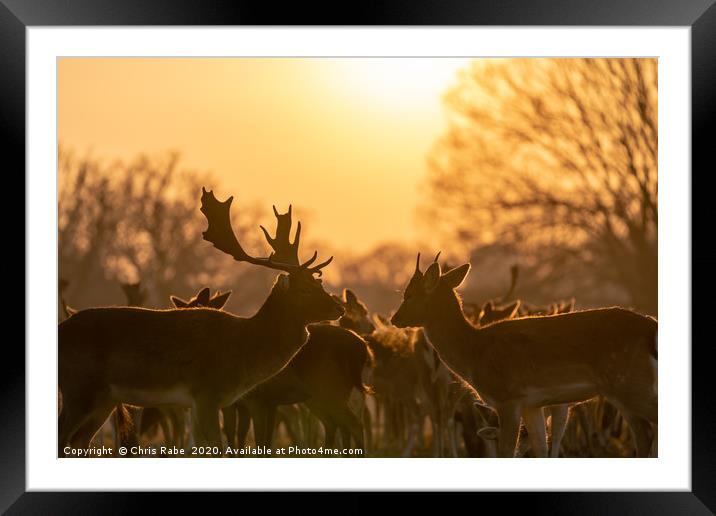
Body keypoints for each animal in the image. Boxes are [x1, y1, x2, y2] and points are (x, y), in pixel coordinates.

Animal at [58, 189, 344, 456]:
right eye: (304, 289)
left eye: (319, 283)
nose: (338, 307)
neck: (244, 349)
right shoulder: (207, 391)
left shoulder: (198, 403)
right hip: (77, 388)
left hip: (103, 399)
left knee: (78, 441)